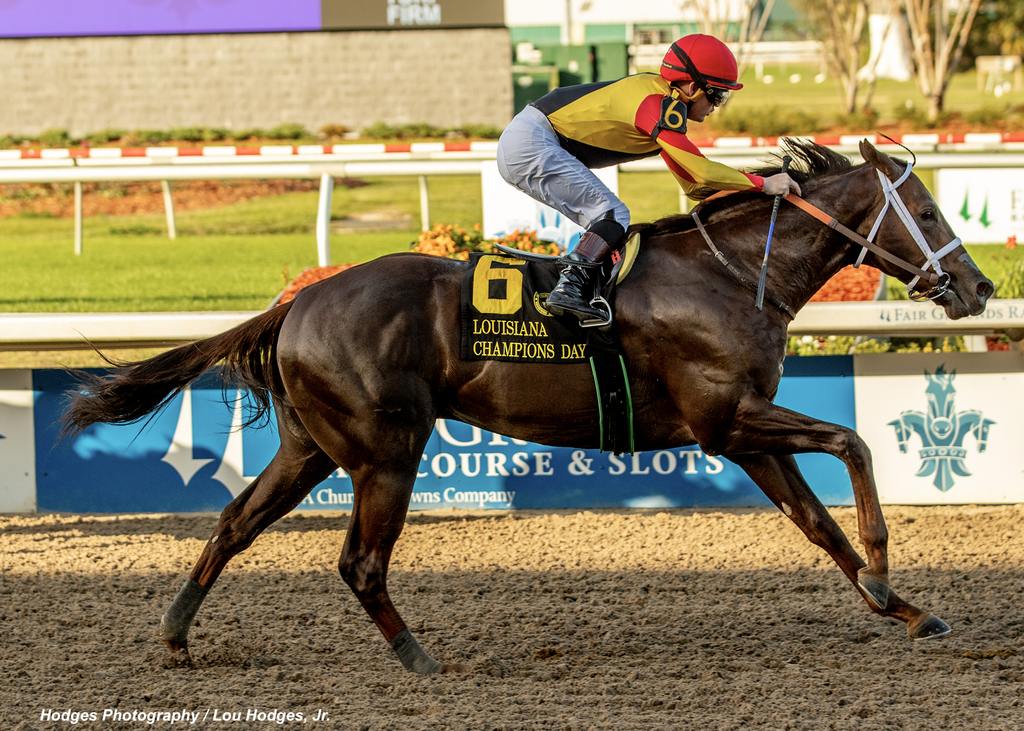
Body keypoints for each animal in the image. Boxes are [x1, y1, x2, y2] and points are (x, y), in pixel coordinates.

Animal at [64, 137, 991, 671]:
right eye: (929, 207)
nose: (978, 287)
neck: (729, 276)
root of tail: (299, 301)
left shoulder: (744, 433)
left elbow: (819, 524)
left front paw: (904, 607)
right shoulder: (726, 420)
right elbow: (854, 445)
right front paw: (886, 567)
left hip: (311, 447)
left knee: (233, 524)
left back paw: (177, 635)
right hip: (386, 451)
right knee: (359, 561)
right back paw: (419, 657)